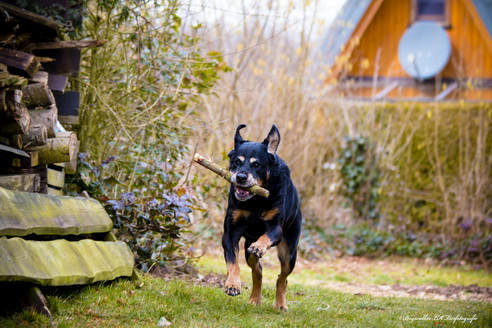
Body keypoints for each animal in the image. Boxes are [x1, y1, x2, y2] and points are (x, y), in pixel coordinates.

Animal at [222, 123, 300, 310]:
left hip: (289, 252)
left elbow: (267, 236)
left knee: (283, 277)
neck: (255, 200)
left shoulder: (275, 228)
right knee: (257, 270)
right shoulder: (230, 232)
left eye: (257, 164)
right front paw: (232, 284)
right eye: (236, 162)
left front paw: (259, 246)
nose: (241, 177)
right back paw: (255, 298)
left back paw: (280, 304)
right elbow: (233, 262)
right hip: (248, 249)